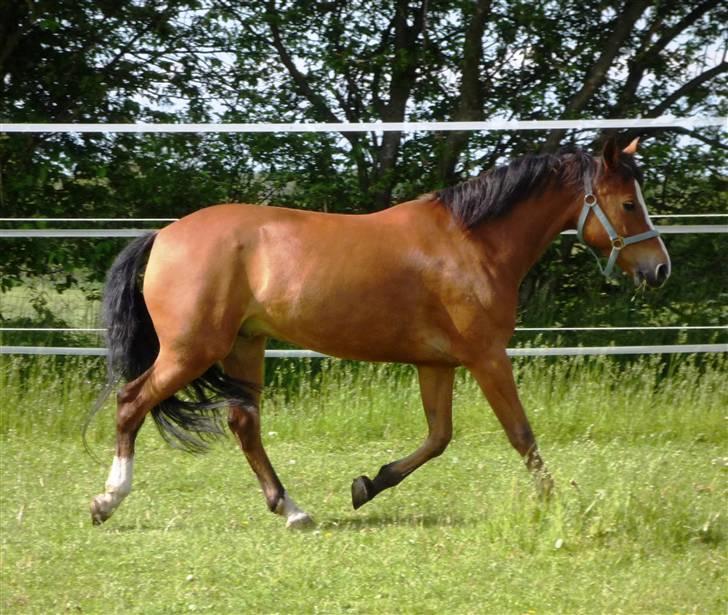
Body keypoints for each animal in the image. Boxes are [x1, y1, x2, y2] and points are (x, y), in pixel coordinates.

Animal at [89, 137, 670, 528]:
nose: (659, 268)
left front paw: (367, 484)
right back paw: (107, 500)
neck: (471, 242)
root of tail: (164, 235)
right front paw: (559, 505)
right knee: (130, 402)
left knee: (243, 423)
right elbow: (521, 434)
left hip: (244, 346)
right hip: (191, 349)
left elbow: (438, 438)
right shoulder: (486, 356)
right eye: (628, 203)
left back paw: (292, 510)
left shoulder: (437, 364)